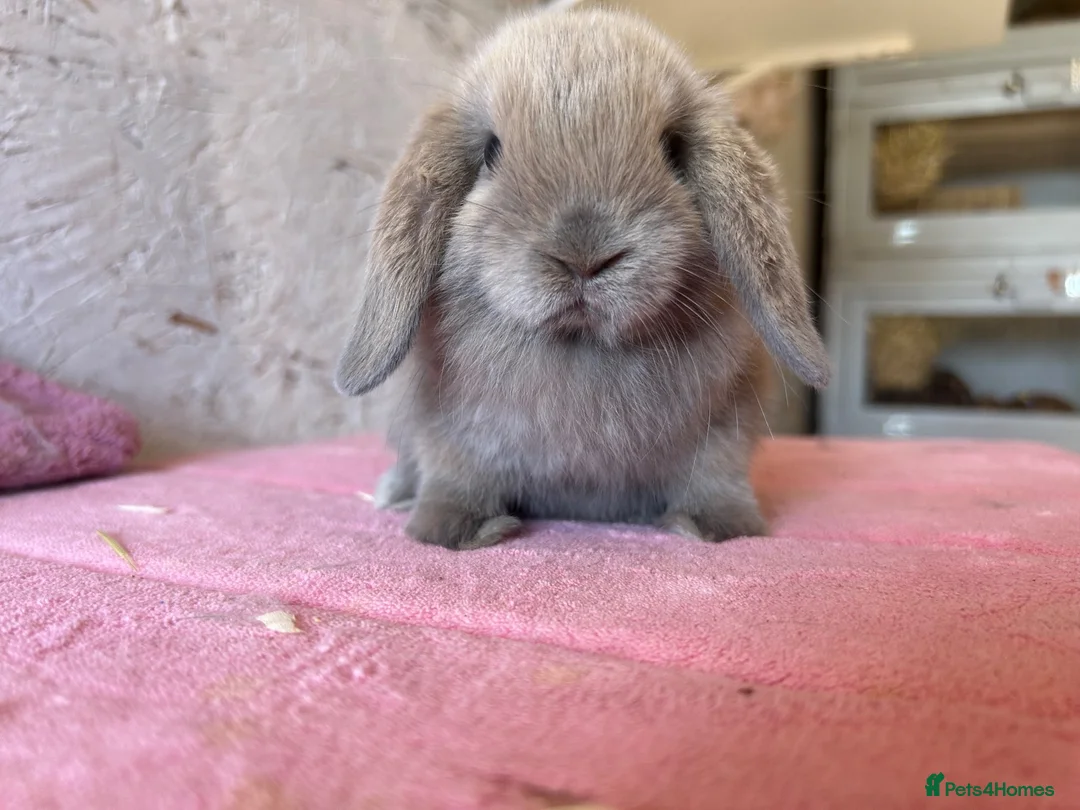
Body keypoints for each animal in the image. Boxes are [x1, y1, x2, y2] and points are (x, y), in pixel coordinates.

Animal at [334, 7, 831, 550]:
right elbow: (456, 476)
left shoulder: (726, 428)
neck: (582, 344)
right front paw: (457, 532)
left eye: (671, 148)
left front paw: (716, 528)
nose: (583, 255)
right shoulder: (447, 433)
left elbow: (716, 477)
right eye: (490, 151)